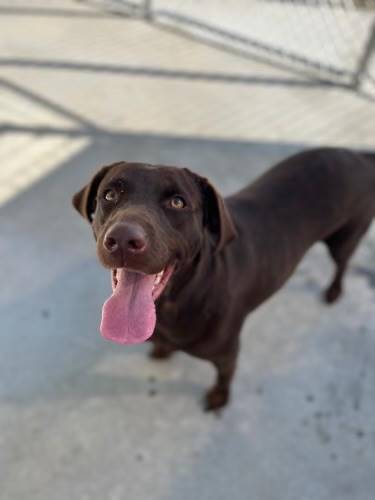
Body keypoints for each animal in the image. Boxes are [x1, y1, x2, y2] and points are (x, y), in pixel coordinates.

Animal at [72, 147, 375, 410]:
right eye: (110, 195)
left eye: (177, 202)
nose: (123, 239)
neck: (179, 298)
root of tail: (356, 155)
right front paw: (162, 350)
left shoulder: (227, 353)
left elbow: (224, 376)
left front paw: (219, 398)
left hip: (345, 238)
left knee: (343, 263)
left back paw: (333, 291)